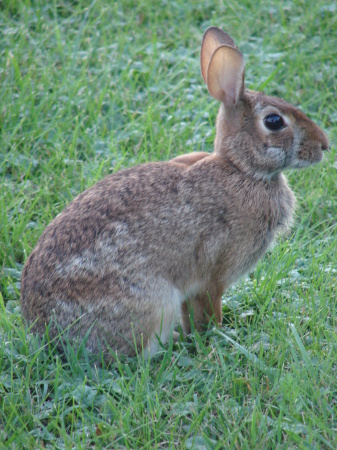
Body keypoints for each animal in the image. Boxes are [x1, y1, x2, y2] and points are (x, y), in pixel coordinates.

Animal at [19, 26, 326, 360]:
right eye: (273, 121)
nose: (324, 145)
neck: (240, 169)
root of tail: (47, 334)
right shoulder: (214, 273)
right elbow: (210, 310)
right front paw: (216, 336)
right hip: (154, 302)